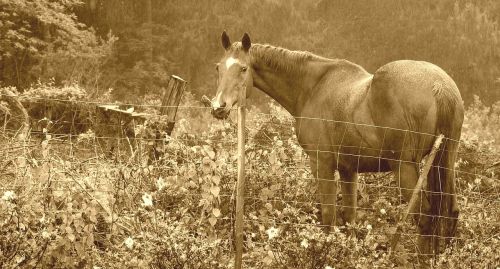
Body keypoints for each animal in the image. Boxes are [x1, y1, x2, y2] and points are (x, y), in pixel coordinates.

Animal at [211, 31, 464, 253]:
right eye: (218, 67)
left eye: (243, 68)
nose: (218, 107)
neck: (313, 87)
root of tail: (439, 86)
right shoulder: (348, 169)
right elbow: (349, 217)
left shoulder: (321, 163)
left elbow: (328, 216)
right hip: (444, 161)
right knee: (450, 213)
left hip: (405, 167)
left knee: (425, 217)